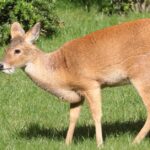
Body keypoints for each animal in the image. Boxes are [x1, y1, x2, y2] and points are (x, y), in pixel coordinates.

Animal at [0, 18, 150, 146]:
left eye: (17, 51)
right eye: (6, 49)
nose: (1, 65)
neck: (62, 68)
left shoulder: (91, 84)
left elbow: (96, 114)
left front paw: (99, 144)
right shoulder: (78, 92)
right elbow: (73, 117)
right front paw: (67, 143)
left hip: (141, 74)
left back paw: (134, 141)